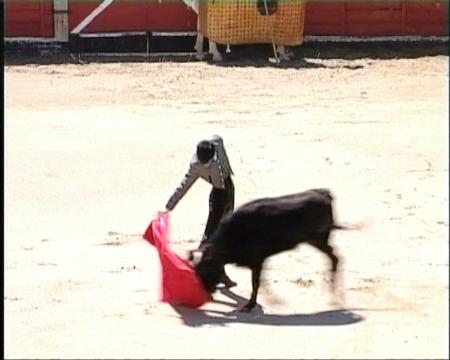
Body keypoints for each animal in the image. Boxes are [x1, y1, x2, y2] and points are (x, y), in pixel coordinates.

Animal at [190, 188, 352, 312]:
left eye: (205, 272)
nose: (207, 295)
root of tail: (324, 194)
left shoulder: (257, 261)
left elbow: (256, 282)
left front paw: (250, 305)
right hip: (316, 240)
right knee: (334, 257)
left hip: (319, 237)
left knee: (335, 257)